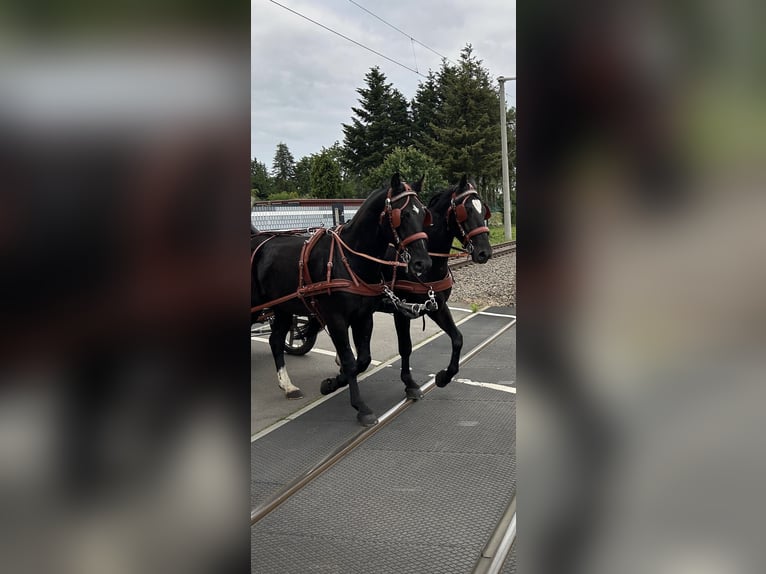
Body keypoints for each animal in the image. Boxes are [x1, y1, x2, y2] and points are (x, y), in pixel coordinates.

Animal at [252, 173, 432, 426]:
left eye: (423, 213)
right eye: (402, 214)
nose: (422, 263)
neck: (348, 258)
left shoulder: (363, 317)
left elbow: (363, 359)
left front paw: (332, 383)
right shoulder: (336, 319)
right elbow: (348, 359)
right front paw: (360, 406)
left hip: (282, 308)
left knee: (275, 340)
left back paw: (288, 386)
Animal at [382, 177, 492, 400]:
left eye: (482, 209)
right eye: (465, 210)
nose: (485, 252)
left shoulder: (437, 305)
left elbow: (457, 338)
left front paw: (443, 377)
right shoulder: (401, 311)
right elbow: (405, 347)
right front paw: (409, 383)